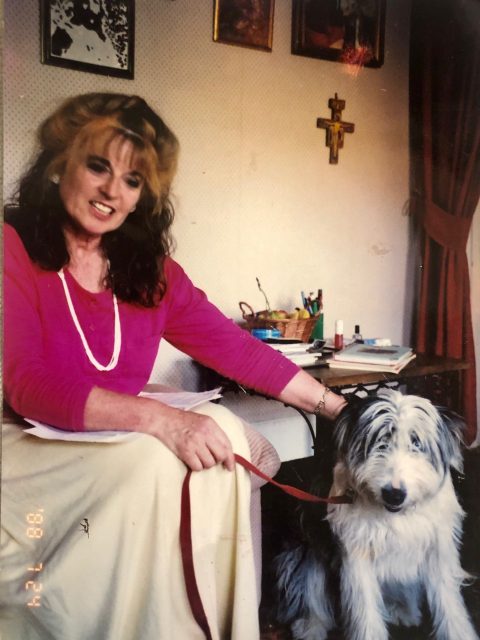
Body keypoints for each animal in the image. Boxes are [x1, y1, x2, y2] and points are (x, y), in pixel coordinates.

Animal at [276, 390, 478, 640]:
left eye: (416, 442)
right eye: (380, 441)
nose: (394, 494)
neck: (396, 515)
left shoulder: (438, 547)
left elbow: (450, 604)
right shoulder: (355, 552)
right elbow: (365, 609)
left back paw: (403, 609)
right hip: (308, 552)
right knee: (310, 591)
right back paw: (311, 625)